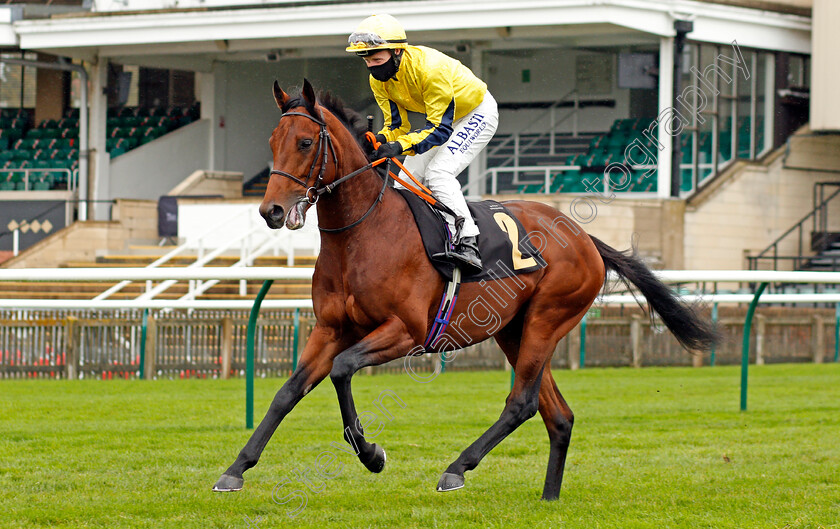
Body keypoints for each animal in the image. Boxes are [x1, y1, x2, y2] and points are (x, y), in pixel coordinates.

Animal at [213, 79, 720, 500]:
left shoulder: (408, 330)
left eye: (304, 142)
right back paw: (548, 498)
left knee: (522, 403)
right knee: (557, 414)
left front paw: (371, 454)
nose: (271, 211)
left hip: (548, 318)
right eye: (271, 143)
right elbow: (289, 391)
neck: (363, 235)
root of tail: (584, 237)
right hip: (514, 330)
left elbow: (342, 370)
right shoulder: (330, 329)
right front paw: (236, 469)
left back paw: (457, 467)